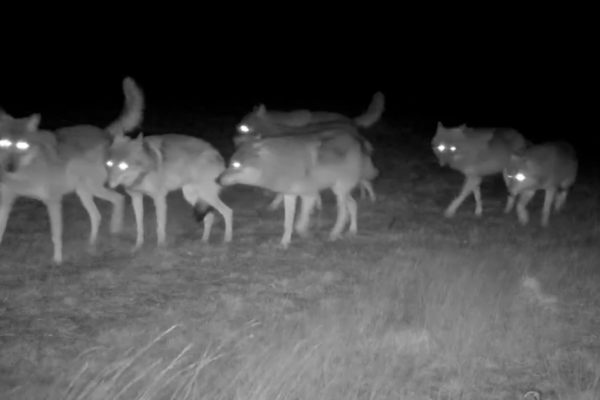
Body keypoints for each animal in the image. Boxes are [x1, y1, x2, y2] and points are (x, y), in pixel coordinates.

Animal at [0, 78, 144, 266]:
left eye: (22, 145)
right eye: (4, 143)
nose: (9, 167)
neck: (24, 173)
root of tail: (105, 133)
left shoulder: (53, 201)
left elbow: (56, 235)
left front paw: (57, 261)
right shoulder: (5, 201)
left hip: (93, 189)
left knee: (119, 199)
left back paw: (115, 230)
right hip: (83, 192)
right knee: (97, 216)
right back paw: (91, 243)